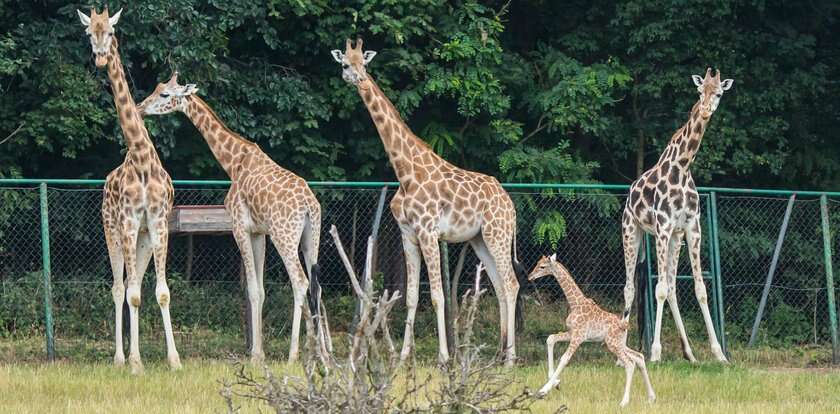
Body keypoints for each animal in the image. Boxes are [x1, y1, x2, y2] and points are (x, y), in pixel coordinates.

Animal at [76, 8, 180, 374]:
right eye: (89, 33)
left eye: (110, 31)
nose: (100, 57)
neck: (141, 158)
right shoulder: (129, 223)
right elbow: (131, 293)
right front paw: (135, 363)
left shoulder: (158, 224)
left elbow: (160, 291)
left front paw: (174, 360)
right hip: (113, 230)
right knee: (119, 287)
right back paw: (121, 359)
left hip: (143, 239)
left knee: (133, 284)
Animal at [139, 73, 332, 364]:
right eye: (157, 88)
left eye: (164, 94)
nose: (140, 107)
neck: (233, 162)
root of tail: (309, 206)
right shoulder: (259, 232)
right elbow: (260, 290)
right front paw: (259, 352)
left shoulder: (239, 227)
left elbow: (252, 290)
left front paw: (255, 355)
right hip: (312, 236)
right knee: (317, 286)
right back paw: (321, 353)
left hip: (285, 236)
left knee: (300, 282)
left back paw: (294, 355)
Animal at [332, 37, 520, 364]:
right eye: (345, 64)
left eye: (363, 63)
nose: (360, 78)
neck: (405, 172)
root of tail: (510, 204)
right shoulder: (408, 233)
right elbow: (410, 297)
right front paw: (404, 356)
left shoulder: (429, 231)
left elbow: (437, 296)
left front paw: (443, 357)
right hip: (480, 239)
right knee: (499, 285)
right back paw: (498, 353)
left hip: (498, 233)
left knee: (511, 283)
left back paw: (509, 359)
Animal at [532, 254, 656, 406]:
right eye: (538, 263)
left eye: (542, 266)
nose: (530, 276)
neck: (575, 303)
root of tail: (624, 326)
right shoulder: (572, 333)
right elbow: (551, 339)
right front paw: (556, 383)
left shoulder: (578, 336)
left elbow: (564, 358)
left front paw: (543, 391)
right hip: (619, 343)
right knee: (639, 357)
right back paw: (651, 397)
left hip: (612, 344)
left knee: (629, 363)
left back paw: (624, 402)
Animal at [620, 68, 732, 362]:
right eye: (700, 91)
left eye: (719, 93)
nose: (704, 111)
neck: (682, 166)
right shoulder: (663, 226)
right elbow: (657, 289)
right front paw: (656, 353)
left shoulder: (691, 228)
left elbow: (699, 289)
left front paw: (719, 354)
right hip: (632, 230)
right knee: (630, 288)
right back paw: (620, 351)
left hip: (674, 239)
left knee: (671, 287)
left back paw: (690, 354)